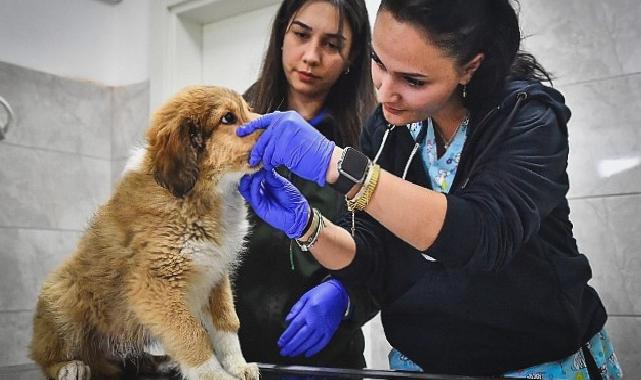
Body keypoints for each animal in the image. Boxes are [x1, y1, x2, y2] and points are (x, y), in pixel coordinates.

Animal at [31, 85, 262, 380]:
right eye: (228, 118)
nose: (281, 120)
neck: (201, 194)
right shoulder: (156, 285)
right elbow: (192, 334)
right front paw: (215, 375)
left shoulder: (215, 275)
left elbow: (227, 323)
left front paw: (238, 365)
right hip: (62, 295)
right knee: (48, 353)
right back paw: (70, 366)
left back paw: (161, 362)